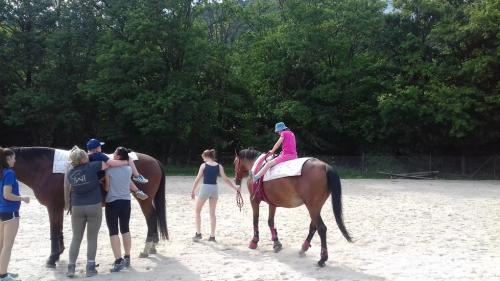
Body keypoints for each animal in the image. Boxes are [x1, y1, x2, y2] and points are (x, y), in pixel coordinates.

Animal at [10, 147, 168, 266]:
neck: (45, 169)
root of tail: (154, 160)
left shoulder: (53, 207)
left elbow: (54, 230)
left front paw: (52, 258)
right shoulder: (57, 208)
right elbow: (58, 230)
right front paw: (58, 253)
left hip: (144, 200)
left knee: (151, 218)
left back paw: (147, 248)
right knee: (153, 217)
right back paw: (153, 246)